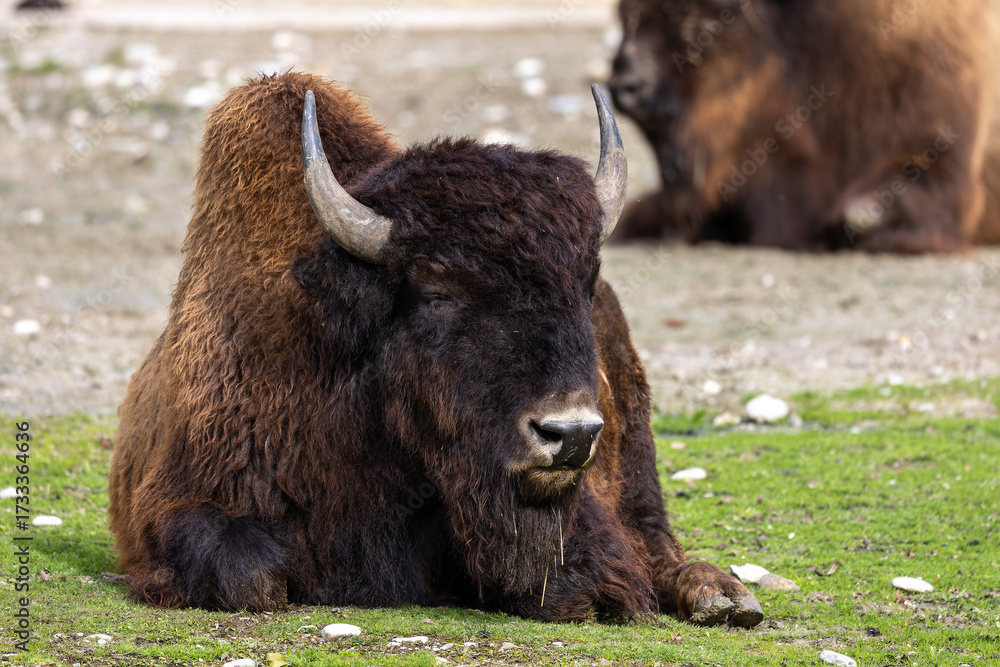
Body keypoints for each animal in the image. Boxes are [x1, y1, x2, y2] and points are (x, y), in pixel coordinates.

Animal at [108, 72, 762, 626]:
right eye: (438, 291)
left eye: (583, 281)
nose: (570, 434)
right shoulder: (183, 500)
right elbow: (251, 579)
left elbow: (591, 575)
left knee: (656, 540)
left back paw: (725, 596)